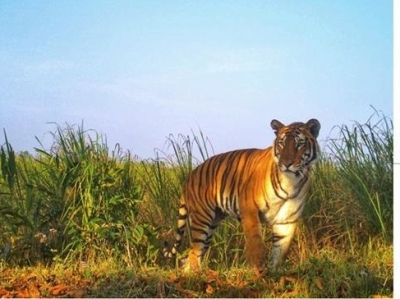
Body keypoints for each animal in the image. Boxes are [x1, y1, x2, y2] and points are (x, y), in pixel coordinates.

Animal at [162, 118, 322, 274]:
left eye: (300, 144)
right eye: (282, 143)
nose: (286, 163)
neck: (290, 181)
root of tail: (190, 175)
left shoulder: (287, 220)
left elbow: (280, 250)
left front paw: (274, 274)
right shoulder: (249, 207)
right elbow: (255, 241)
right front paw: (258, 271)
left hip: (212, 223)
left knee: (192, 253)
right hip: (202, 218)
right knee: (195, 249)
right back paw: (195, 273)